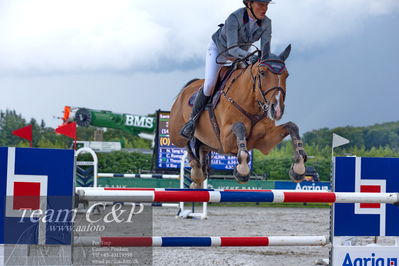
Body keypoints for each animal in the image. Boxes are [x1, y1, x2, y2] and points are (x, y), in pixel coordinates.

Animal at [169, 44, 306, 189]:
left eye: (287, 75)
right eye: (262, 73)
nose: (277, 109)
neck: (251, 104)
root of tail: (187, 88)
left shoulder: (265, 141)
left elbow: (292, 126)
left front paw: (299, 167)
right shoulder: (226, 139)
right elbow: (239, 127)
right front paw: (242, 171)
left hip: (212, 143)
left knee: (201, 147)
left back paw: (201, 173)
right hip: (175, 133)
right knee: (186, 141)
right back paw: (196, 171)